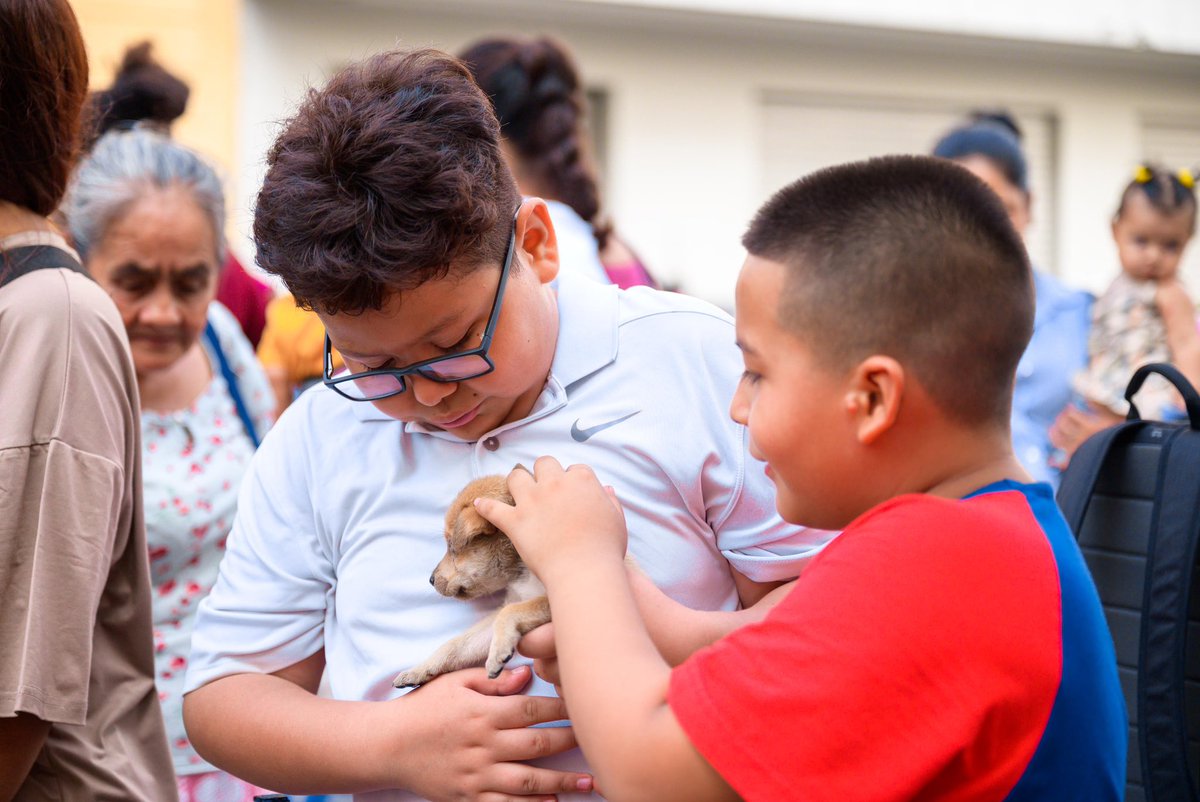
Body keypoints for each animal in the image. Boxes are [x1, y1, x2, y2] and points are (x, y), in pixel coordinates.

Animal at [393, 470, 549, 691]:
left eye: (451, 546)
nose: (430, 580)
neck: (521, 569)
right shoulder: (511, 603)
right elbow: (457, 644)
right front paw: (419, 670)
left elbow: (512, 612)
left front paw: (497, 654)